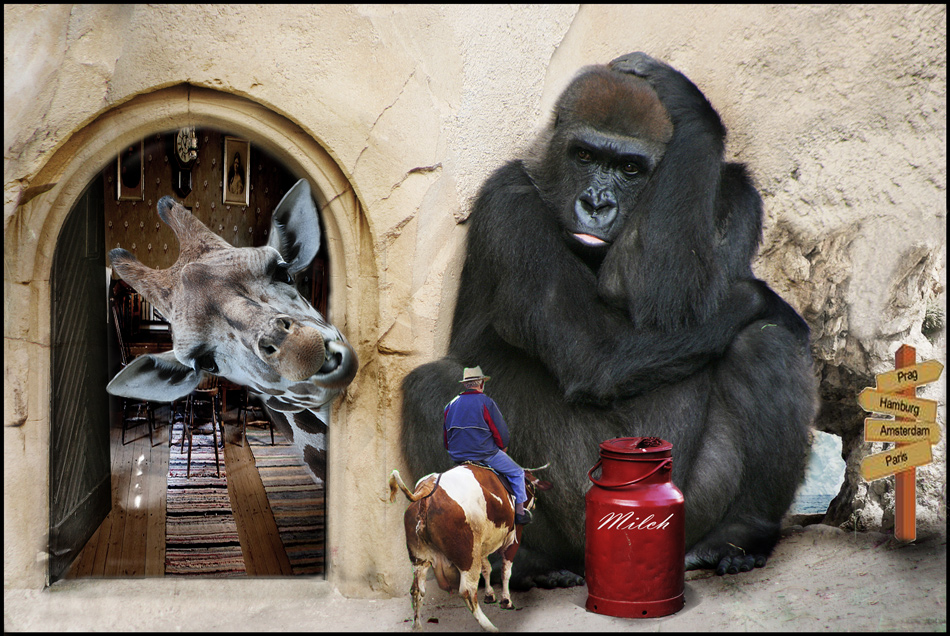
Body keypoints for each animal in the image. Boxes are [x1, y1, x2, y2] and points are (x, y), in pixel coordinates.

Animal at [388, 462, 552, 632]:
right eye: (532, 487)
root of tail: (427, 490)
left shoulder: (481, 545)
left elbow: (487, 568)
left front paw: (489, 594)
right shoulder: (514, 536)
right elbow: (506, 570)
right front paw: (506, 600)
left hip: (420, 558)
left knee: (416, 590)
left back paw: (417, 626)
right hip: (467, 556)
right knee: (467, 590)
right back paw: (489, 626)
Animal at [402, 52, 820, 584]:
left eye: (629, 168)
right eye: (584, 156)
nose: (597, 204)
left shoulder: (736, 189)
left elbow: (661, 295)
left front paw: (692, 109)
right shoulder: (507, 201)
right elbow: (594, 350)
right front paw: (764, 298)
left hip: (682, 515)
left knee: (765, 343)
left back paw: (741, 533)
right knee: (434, 390)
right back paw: (519, 562)